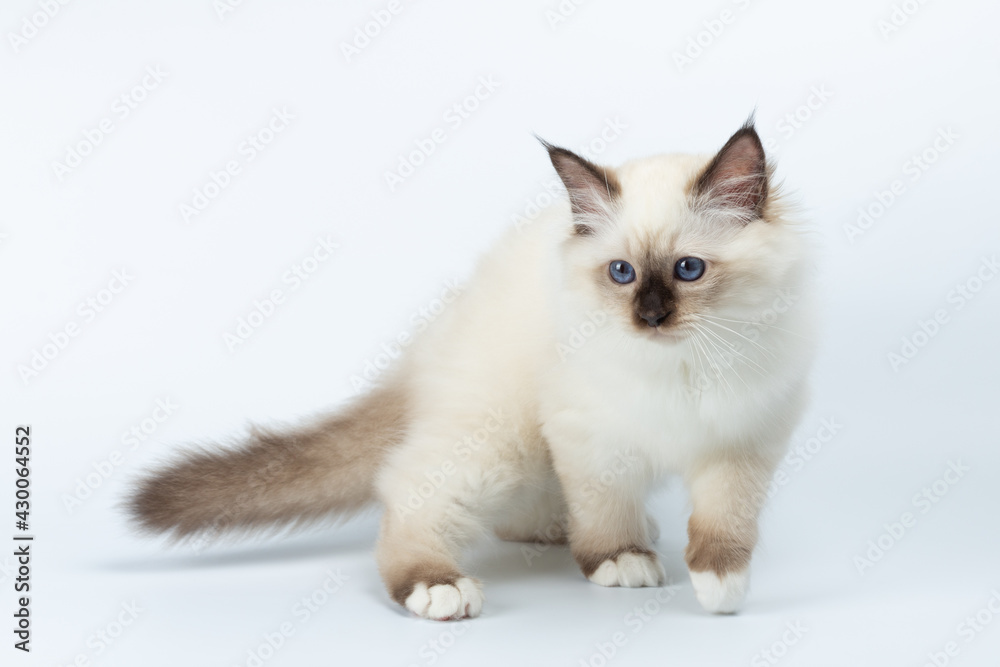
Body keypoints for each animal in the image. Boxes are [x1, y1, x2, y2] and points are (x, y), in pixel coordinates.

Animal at [129, 118, 816, 620]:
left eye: (688, 270)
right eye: (621, 273)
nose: (649, 317)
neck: (682, 365)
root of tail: (426, 349)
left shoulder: (742, 444)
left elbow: (724, 525)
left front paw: (721, 585)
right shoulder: (591, 440)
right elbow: (604, 509)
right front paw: (619, 560)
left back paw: (560, 530)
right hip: (498, 441)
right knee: (407, 498)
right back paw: (440, 587)